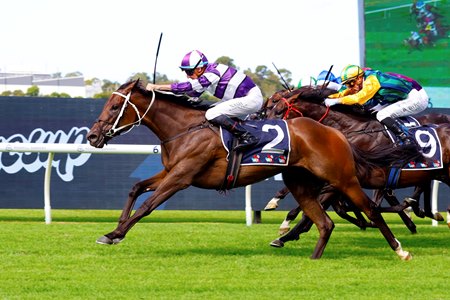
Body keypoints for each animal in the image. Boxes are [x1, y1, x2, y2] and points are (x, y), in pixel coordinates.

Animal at [85, 80, 412, 260]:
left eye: (114, 107)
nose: (92, 136)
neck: (185, 128)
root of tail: (336, 133)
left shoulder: (181, 177)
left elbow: (148, 206)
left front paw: (114, 233)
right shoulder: (170, 172)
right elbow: (136, 188)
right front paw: (117, 230)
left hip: (342, 178)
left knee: (370, 210)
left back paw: (401, 249)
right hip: (301, 183)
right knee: (325, 223)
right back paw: (310, 256)